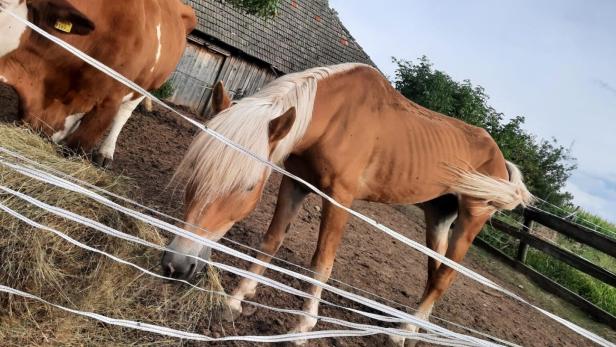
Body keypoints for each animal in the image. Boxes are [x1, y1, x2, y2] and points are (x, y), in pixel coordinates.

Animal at [161, 64, 532, 346]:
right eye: (196, 166)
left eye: (248, 185)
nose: (176, 266)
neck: (335, 119)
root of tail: (499, 159)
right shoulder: (295, 184)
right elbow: (271, 241)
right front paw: (235, 300)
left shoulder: (339, 198)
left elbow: (322, 263)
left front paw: (301, 329)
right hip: (438, 216)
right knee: (435, 273)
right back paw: (413, 329)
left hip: (471, 220)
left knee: (445, 277)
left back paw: (401, 334)